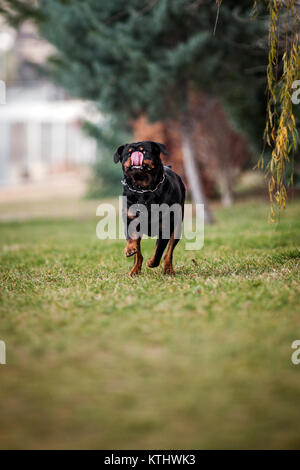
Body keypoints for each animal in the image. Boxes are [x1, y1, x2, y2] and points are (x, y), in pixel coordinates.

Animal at [113, 140, 185, 276]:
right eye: (128, 153)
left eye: (145, 151)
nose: (136, 153)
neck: (144, 189)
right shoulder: (130, 221)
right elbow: (132, 240)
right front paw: (130, 249)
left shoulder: (165, 226)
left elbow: (159, 250)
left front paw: (152, 262)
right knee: (139, 254)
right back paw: (135, 270)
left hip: (177, 227)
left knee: (169, 252)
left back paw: (168, 269)